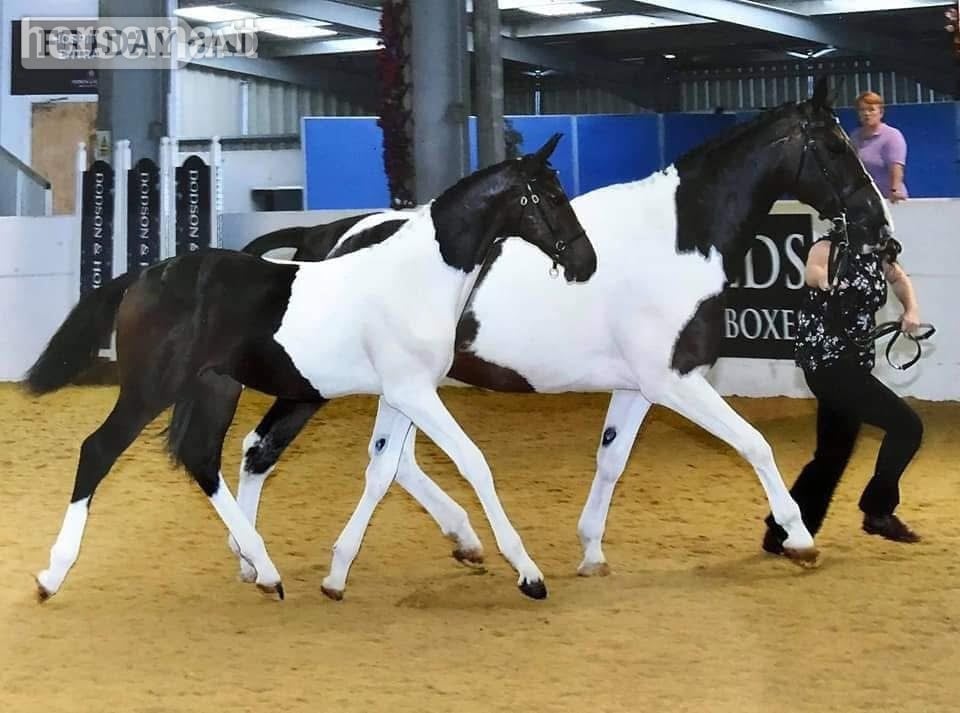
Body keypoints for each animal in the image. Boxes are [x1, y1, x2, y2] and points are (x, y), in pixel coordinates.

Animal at [24, 134, 597, 602]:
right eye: (549, 196)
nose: (585, 262)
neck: (419, 276)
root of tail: (144, 276)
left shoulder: (403, 394)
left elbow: (385, 469)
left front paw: (337, 576)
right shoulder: (414, 394)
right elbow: (473, 462)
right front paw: (528, 574)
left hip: (215, 388)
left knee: (203, 457)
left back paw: (264, 569)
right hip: (151, 387)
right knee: (100, 449)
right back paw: (52, 575)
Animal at [231, 78, 896, 597]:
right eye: (835, 147)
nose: (881, 230)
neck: (678, 242)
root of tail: (322, 239)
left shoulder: (640, 386)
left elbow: (611, 458)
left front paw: (591, 552)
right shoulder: (675, 381)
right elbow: (755, 444)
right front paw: (800, 538)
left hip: (398, 386)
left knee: (394, 464)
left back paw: (460, 541)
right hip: (321, 383)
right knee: (261, 450)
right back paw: (255, 562)